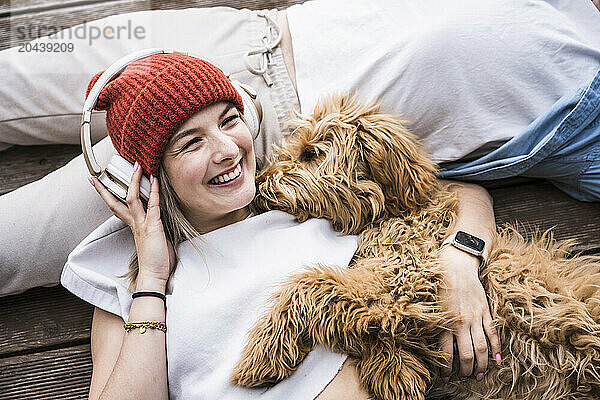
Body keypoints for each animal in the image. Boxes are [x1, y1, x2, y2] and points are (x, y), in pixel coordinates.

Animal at [230, 94, 600, 400]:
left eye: (310, 153)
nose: (259, 182)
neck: (393, 214)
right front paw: (394, 372)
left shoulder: (402, 280)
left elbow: (310, 283)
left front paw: (263, 355)